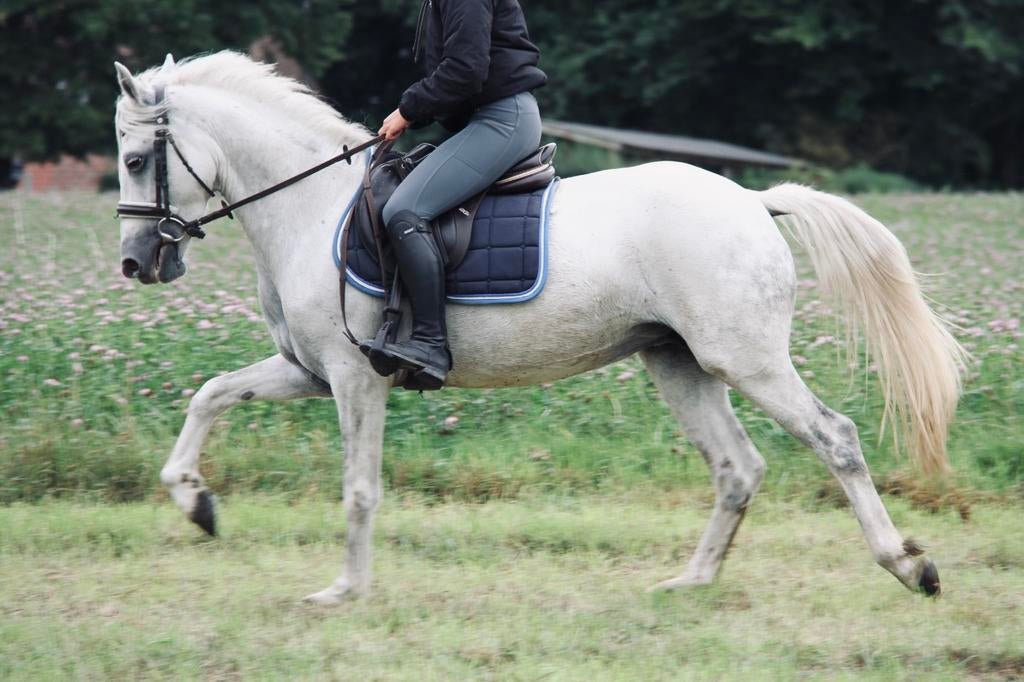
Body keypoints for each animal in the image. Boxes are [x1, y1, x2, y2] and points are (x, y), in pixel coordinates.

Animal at [113, 52, 965, 605]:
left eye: (133, 159)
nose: (136, 262)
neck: (311, 207)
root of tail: (755, 200)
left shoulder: (356, 378)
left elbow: (359, 487)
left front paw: (344, 589)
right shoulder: (310, 371)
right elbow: (211, 394)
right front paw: (196, 503)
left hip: (745, 359)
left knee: (834, 439)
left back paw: (909, 567)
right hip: (678, 363)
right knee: (737, 467)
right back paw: (690, 581)